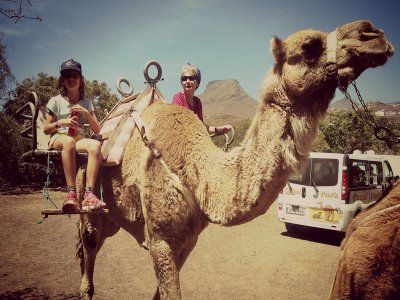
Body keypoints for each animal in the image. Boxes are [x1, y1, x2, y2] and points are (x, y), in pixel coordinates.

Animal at [74, 19, 394, 298]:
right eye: (308, 46)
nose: (373, 33)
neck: (198, 173)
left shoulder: (187, 242)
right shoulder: (161, 240)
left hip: (114, 217)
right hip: (86, 192)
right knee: (88, 245)